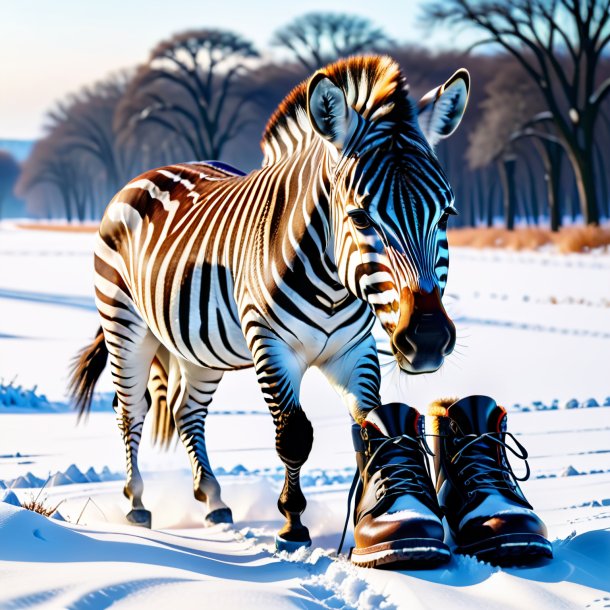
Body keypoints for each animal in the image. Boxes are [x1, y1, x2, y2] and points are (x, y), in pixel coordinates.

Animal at [71, 57, 468, 548]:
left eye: (446, 215)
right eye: (359, 217)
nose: (427, 339)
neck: (334, 285)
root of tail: (146, 174)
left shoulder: (354, 350)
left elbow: (369, 427)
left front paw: (380, 516)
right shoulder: (271, 344)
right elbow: (293, 434)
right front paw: (292, 524)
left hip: (198, 346)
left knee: (186, 410)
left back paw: (214, 500)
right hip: (124, 324)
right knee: (131, 410)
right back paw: (136, 503)